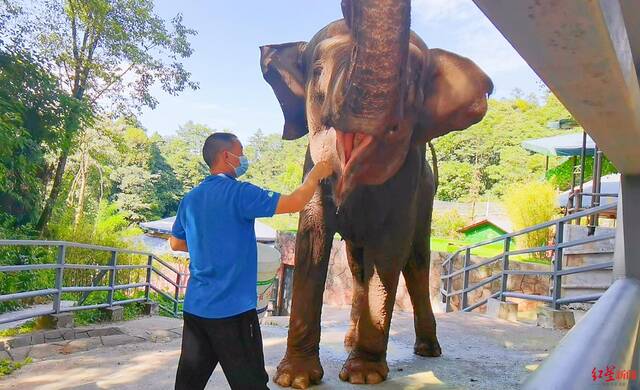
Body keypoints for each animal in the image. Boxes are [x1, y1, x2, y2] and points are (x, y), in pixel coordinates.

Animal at [258, 0, 492, 386]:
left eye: (410, 82)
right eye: (317, 72)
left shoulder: (408, 181)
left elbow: (391, 247)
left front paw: (363, 375)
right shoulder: (311, 168)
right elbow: (313, 237)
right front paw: (294, 379)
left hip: (427, 196)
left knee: (415, 260)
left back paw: (427, 350)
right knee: (357, 264)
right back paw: (350, 339)